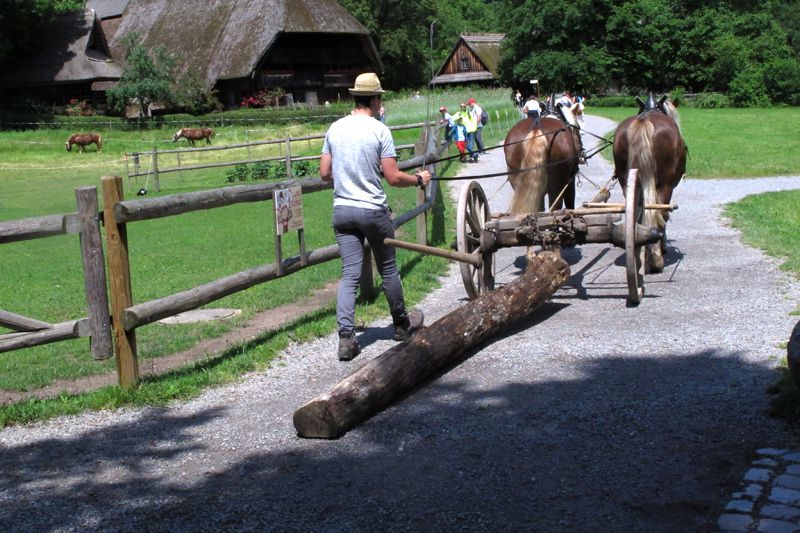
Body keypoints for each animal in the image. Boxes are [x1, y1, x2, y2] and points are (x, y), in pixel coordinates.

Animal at [612, 93, 688, 272]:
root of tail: (643, 121)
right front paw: (662, 246)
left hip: (626, 179)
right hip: (666, 183)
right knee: (660, 210)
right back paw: (655, 258)